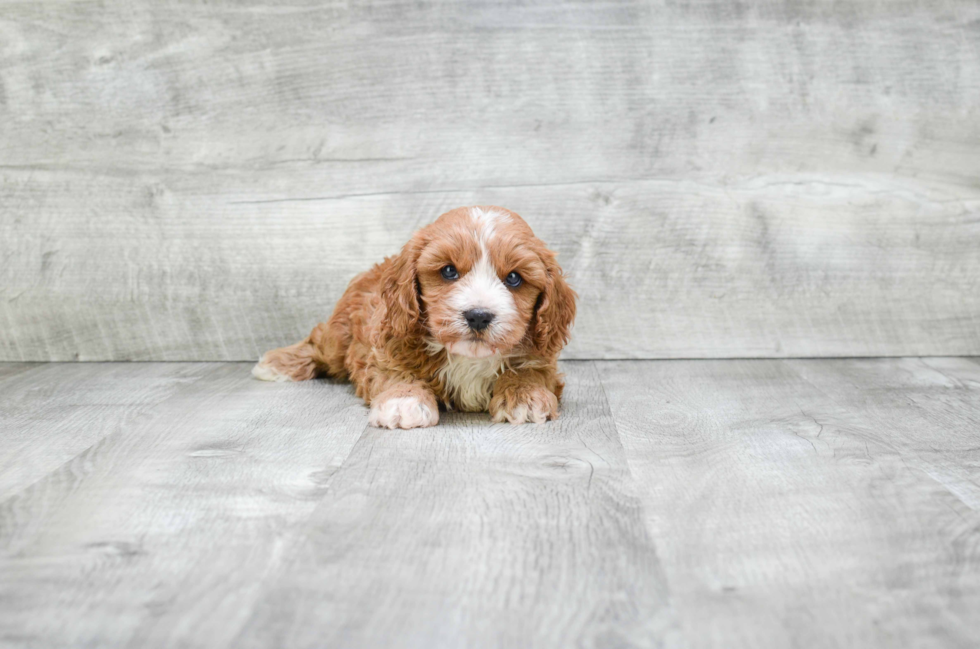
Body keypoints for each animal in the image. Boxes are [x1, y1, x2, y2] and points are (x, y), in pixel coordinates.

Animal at [253, 208, 580, 428]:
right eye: (448, 271)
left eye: (513, 278)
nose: (478, 316)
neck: (469, 358)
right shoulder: (388, 347)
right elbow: (398, 373)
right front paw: (404, 400)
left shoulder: (542, 357)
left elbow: (529, 372)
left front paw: (525, 396)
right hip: (339, 337)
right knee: (319, 341)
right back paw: (277, 363)